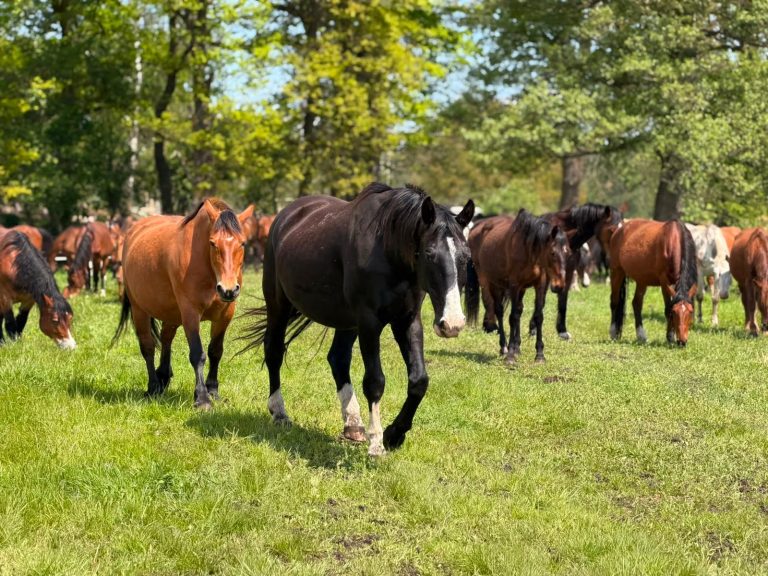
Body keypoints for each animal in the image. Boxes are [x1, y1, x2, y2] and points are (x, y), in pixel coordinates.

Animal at [113, 199, 253, 409]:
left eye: (242, 243)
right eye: (213, 243)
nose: (228, 290)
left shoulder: (225, 314)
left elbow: (215, 351)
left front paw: (213, 391)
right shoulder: (190, 313)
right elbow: (197, 354)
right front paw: (202, 398)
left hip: (171, 313)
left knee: (166, 339)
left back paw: (163, 377)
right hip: (139, 310)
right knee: (147, 347)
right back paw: (153, 386)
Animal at [241, 183, 474, 457]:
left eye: (466, 256)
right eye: (429, 254)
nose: (453, 323)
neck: (388, 249)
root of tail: (286, 215)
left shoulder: (407, 321)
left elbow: (419, 381)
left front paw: (395, 434)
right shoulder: (369, 322)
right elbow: (375, 381)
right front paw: (377, 443)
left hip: (347, 321)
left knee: (338, 358)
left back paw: (353, 423)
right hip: (279, 305)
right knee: (274, 351)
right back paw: (279, 412)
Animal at [465, 209, 569, 364]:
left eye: (567, 252)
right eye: (552, 252)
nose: (559, 286)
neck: (528, 251)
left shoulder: (539, 285)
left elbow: (538, 316)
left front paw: (539, 354)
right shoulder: (514, 286)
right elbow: (513, 317)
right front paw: (510, 356)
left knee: (518, 310)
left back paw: (516, 347)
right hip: (491, 282)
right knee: (499, 311)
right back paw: (504, 347)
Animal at [529, 203, 623, 340]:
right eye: (611, 229)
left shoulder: (568, 271)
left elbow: (563, 300)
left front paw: (562, 331)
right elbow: (541, 300)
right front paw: (533, 330)